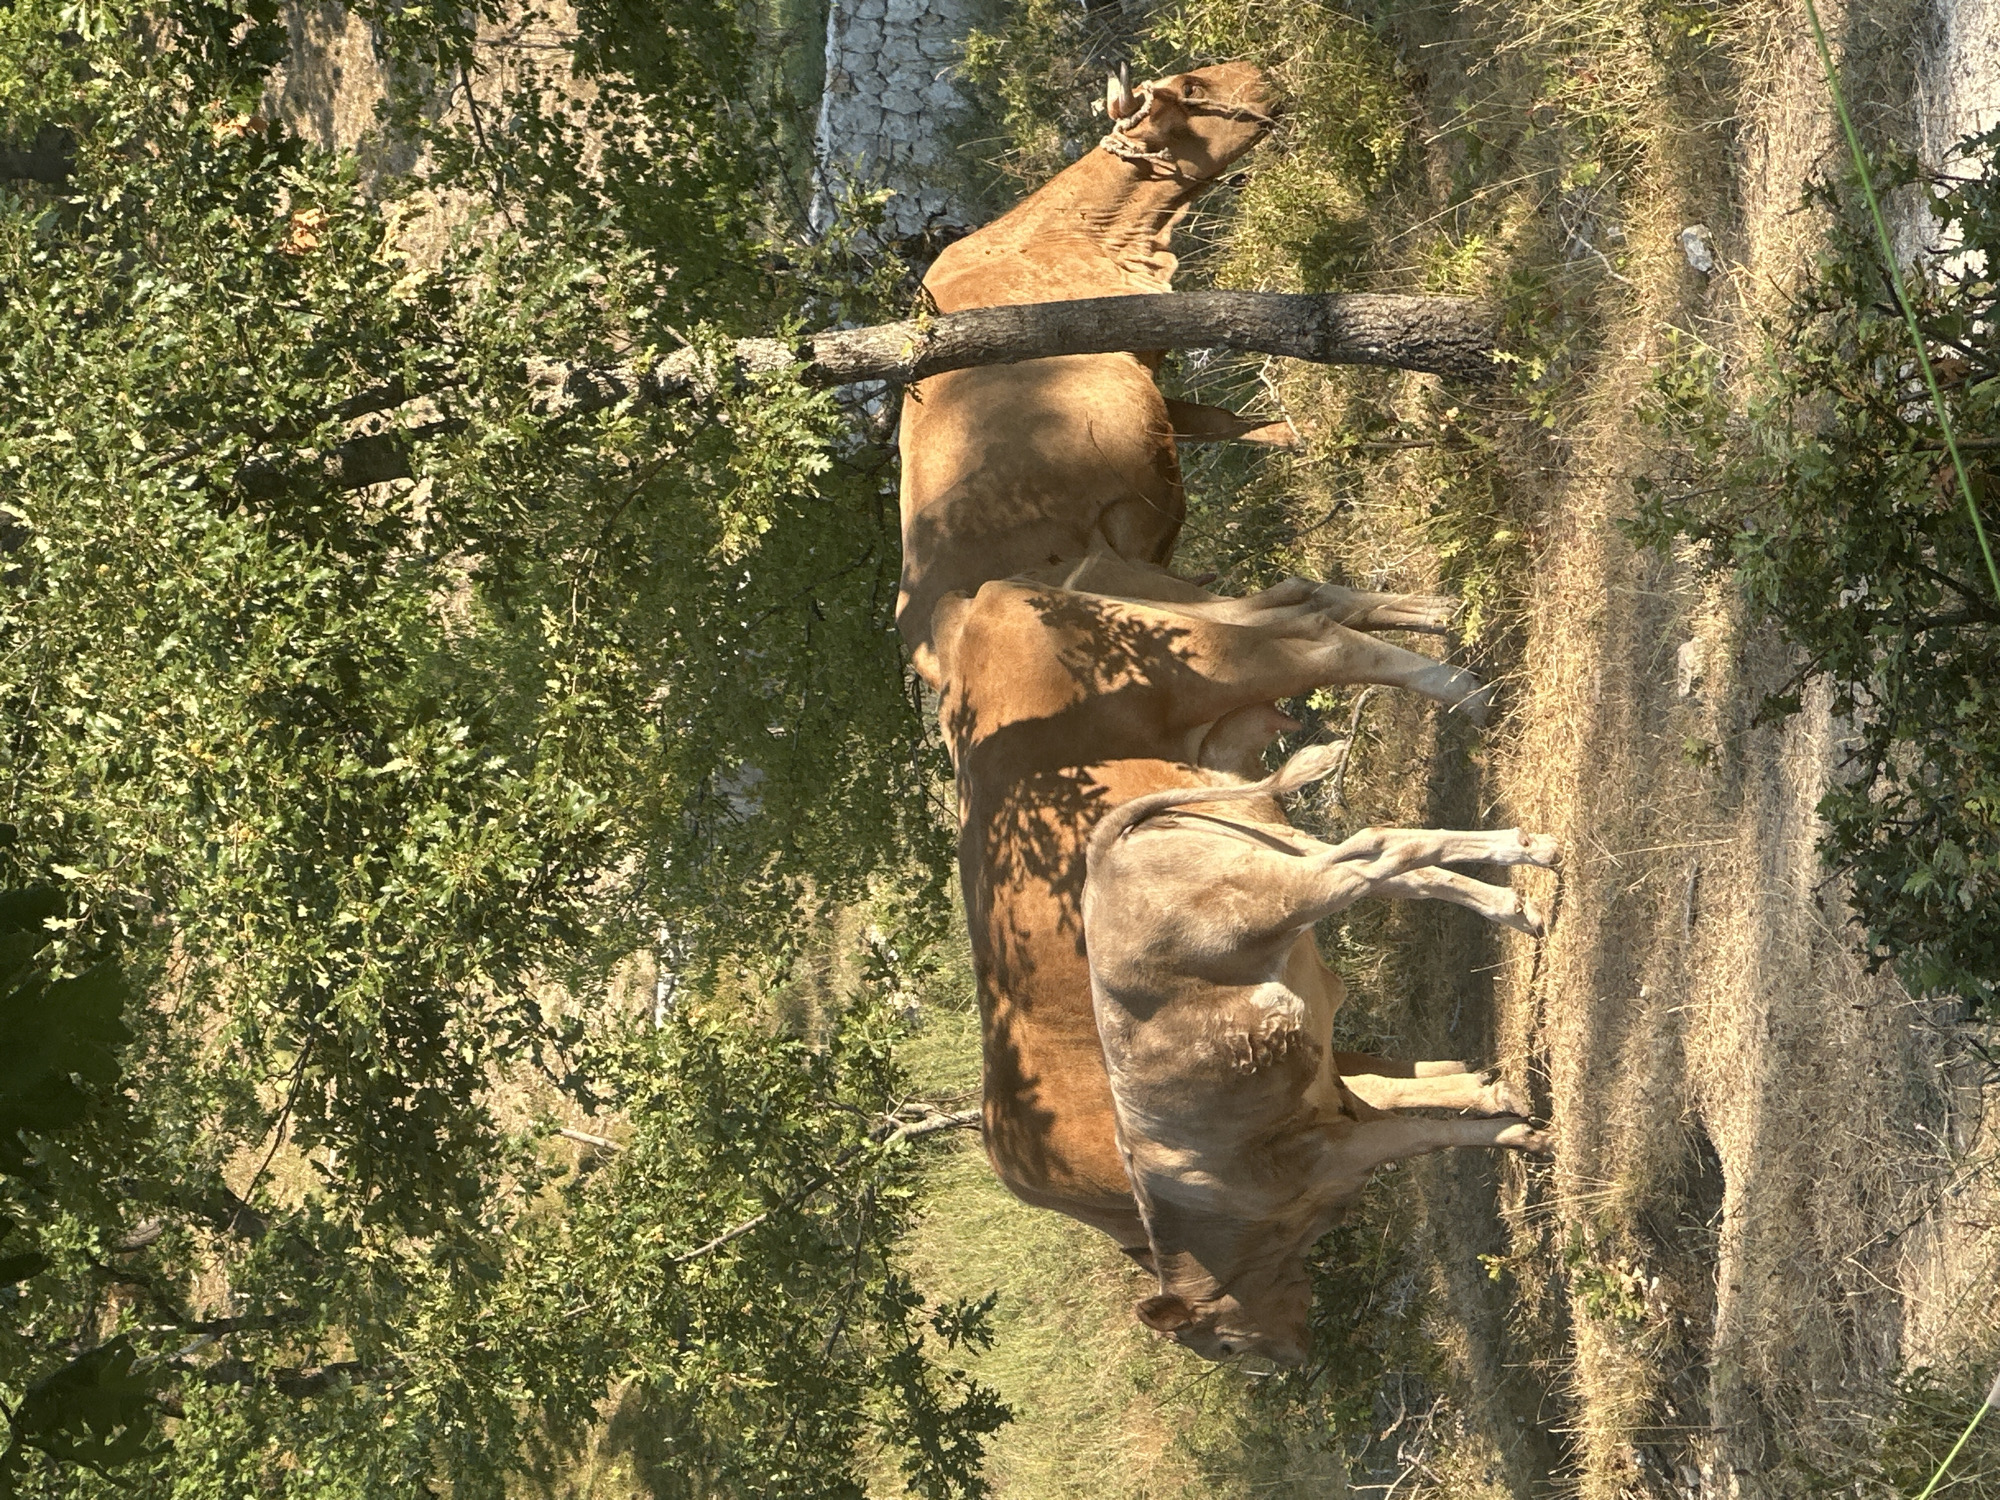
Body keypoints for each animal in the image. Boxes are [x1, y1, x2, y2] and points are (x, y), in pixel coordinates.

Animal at [933, 575, 1498, 1257]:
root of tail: (973, 609)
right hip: (1184, 630)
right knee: (1300, 601)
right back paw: (1446, 621)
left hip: (1188, 660)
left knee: (1319, 636)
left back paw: (1473, 696)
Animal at [1081, 743, 1557, 1364]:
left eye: (1225, 1348)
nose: (1294, 1359)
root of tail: (1099, 857)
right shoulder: (1335, 1096)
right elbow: (1413, 1095)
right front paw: (1495, 1093)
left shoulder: (1335, 1153)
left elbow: (1427, 1134)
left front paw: (1525, 1136)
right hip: (1285, 854)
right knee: (1392, 867)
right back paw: (1519, 893)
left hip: (1270, 898)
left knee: (1379, 849)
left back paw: (1527, 861)